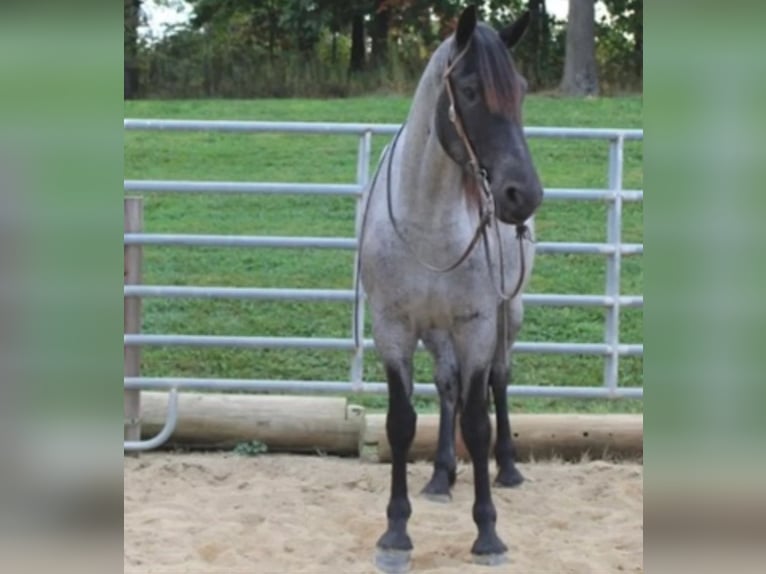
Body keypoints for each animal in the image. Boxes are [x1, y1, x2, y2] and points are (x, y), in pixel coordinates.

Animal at [356, 5, 543, 571]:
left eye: (521, 88)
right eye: (470, 88)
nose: (523, 194)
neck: (428, 222)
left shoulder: (476, 325)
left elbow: (479, 423)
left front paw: (488, 534)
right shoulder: (393, 328)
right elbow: (401, 422)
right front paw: (396, 533)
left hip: (509, 314)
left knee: (498, 382)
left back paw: (507, 470)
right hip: (437, 331)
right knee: (447, 385)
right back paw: (441, 476)